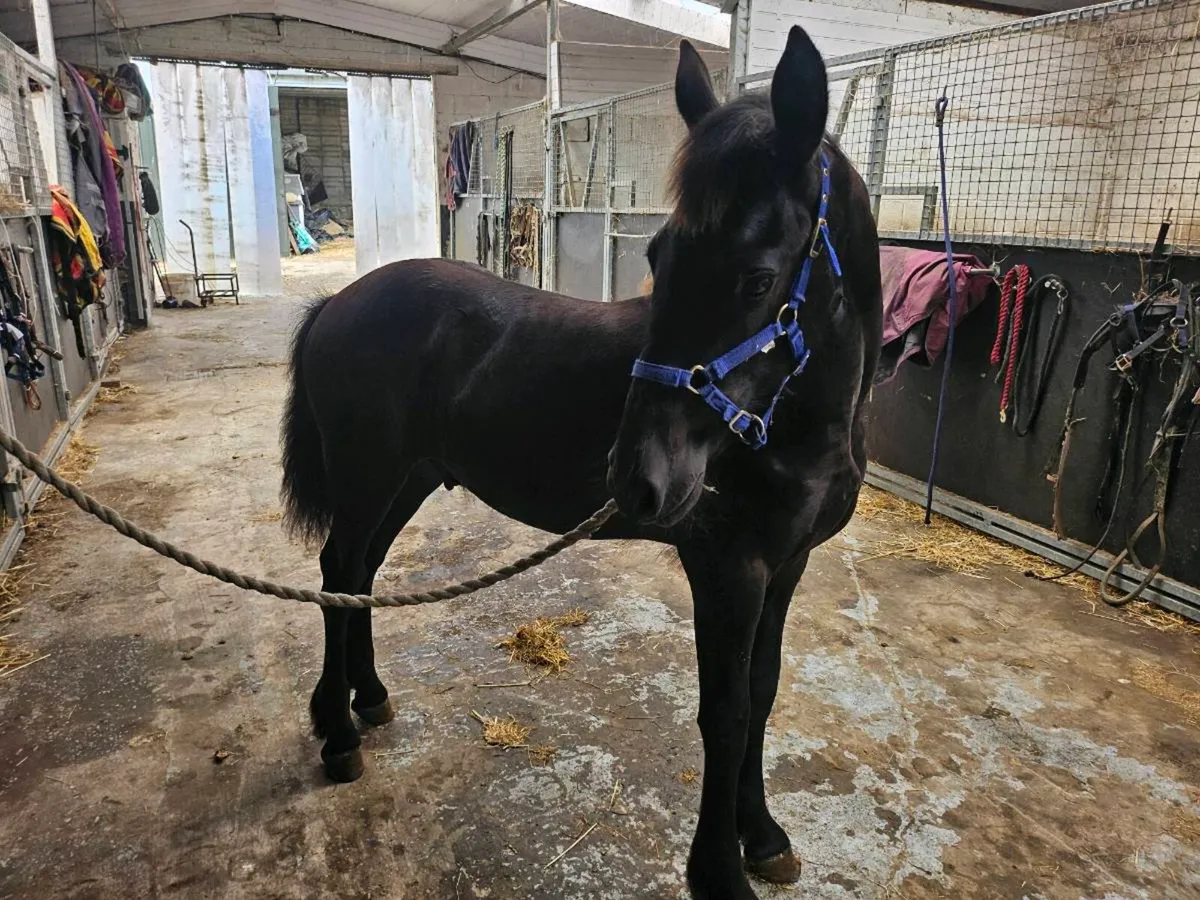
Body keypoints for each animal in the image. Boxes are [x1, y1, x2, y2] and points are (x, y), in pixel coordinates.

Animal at [280, 26, 881, 899]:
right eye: (658, 256)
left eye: (759, 277)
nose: (636, 479)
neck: (794, 425)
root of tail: (339, 302)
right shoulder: (727, 569)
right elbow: (726, 712)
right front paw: (719, 869)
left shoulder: (786, 565)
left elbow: (763, 693)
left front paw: (762, 836)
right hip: (368, 478)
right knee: (336, 572)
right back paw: (336, 732)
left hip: (408, 480)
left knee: (359, 574)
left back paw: (371, 700)